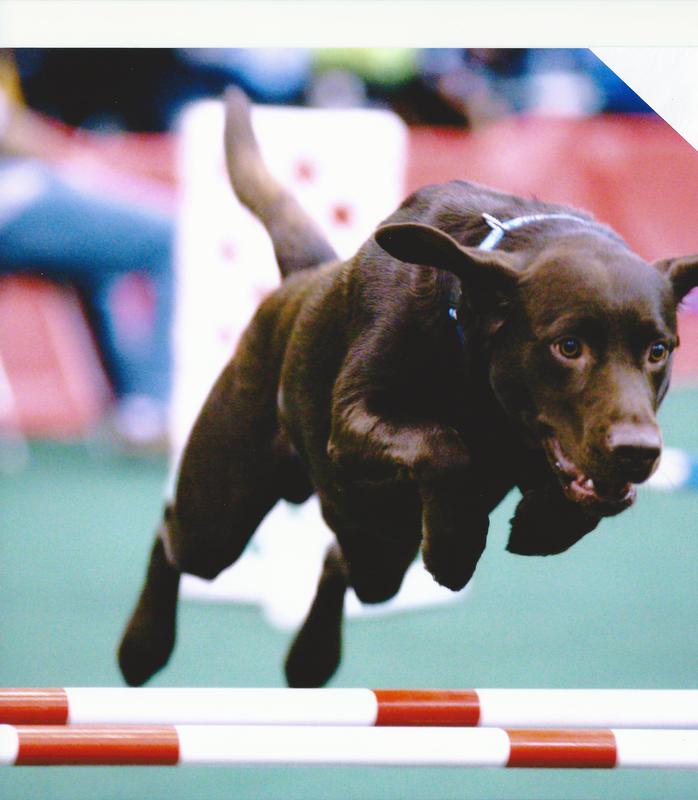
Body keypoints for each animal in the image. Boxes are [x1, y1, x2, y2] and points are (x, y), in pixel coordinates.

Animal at [118, 89, 696, 688]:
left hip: (378, 544)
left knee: (340, 561)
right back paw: (143, 647)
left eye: (658, 351)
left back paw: (310, 658)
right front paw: (454, 547)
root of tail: (301, 278)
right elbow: (447, 447)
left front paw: (543, 524)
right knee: (174, 537)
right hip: (224, 506)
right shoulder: (354, 418)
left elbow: (578, 497)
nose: (637, 452)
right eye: (568, 346)